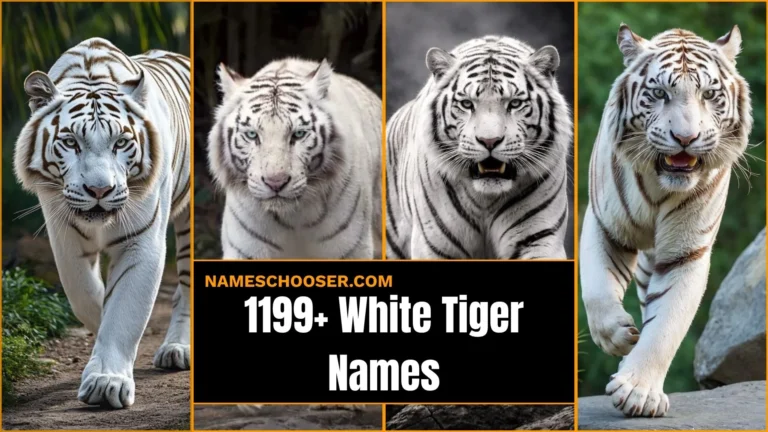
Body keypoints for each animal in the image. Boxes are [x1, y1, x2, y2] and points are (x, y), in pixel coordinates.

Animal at [12, 37, 191, 409]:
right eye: (70, 142)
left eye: (120, 142)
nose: (99, 190)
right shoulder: (63, 235)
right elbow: (85, 295)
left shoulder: (143, 239)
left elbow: (122, 307)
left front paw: (107, 381)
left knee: (188, 282)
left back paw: (177, 348)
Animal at [207, 57, 382, 259]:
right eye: (251, 134)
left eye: (298, 134)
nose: (275, 183)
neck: (293, 220)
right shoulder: (245, 250)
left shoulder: (352, 250)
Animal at [385, 35, 573, 260]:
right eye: (466, 104)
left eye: (515, 103)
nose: (489, 141)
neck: (486, 199)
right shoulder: (434, 244)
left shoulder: (539, 238)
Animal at [579, 24, 752, 417]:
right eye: (659, 93)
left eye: (708, 94)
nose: (685, 138)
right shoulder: (604, 224)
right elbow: (597, 290)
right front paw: (618, 335)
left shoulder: (686, 251)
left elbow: (667, 322)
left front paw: (638, 391)